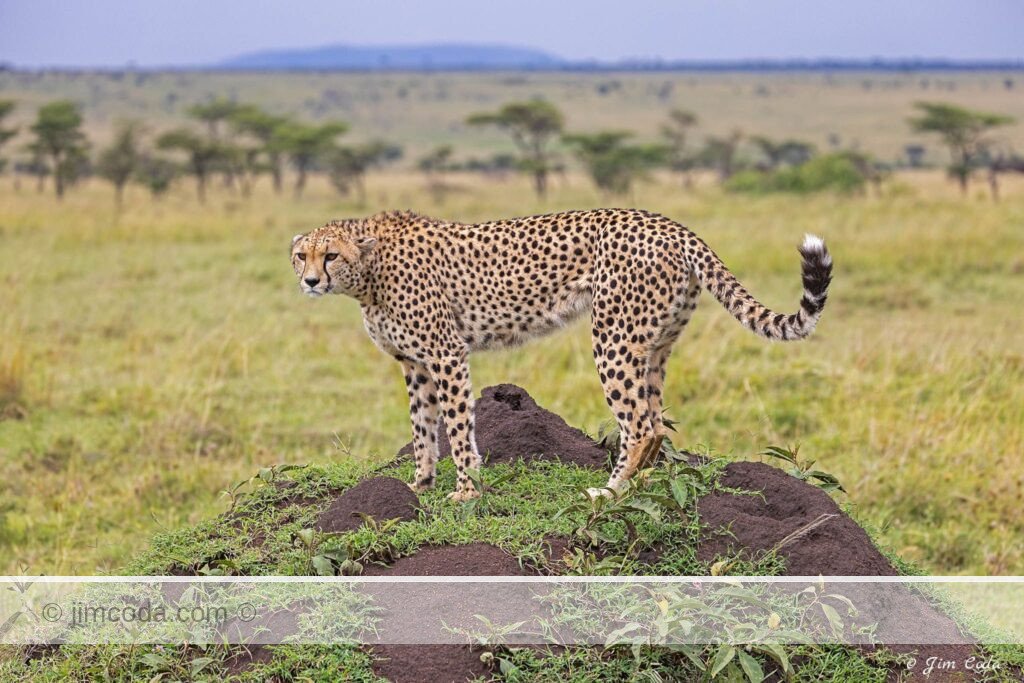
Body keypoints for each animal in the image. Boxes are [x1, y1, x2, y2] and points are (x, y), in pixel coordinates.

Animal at [290, 208, 833, 501]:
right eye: (301, 255)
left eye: (330, 255)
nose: (310, 280)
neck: (368, 272)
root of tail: (669, 224)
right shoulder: (415, 364)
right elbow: (422, 428)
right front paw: (420, 483)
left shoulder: (446, 355)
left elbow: (458, 428)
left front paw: (466, 489)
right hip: (654, 345)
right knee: (657, 419)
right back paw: (643, 485)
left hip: (613, 338)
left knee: (640, 425)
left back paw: (610, 492)